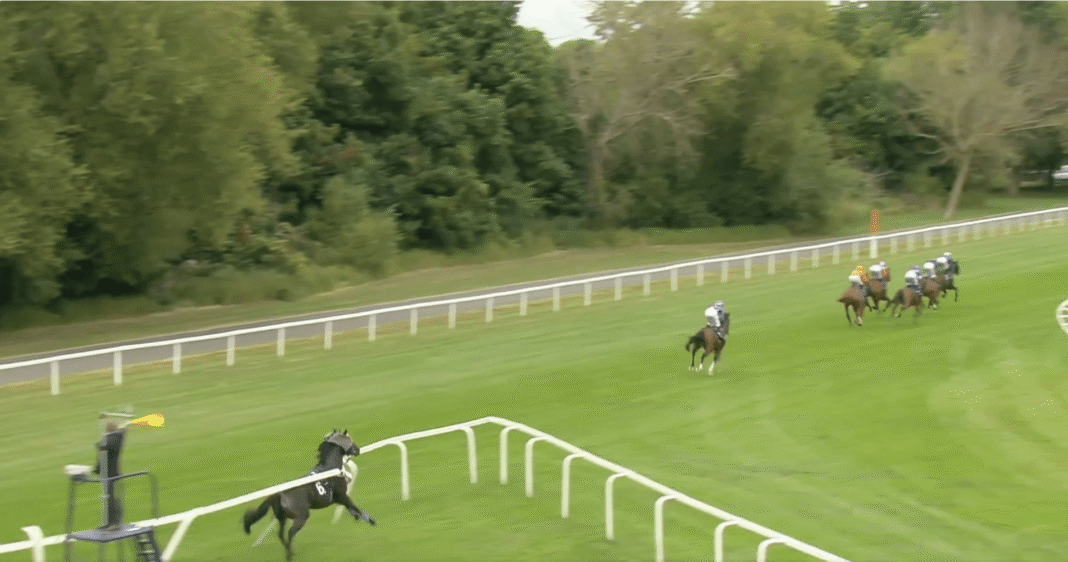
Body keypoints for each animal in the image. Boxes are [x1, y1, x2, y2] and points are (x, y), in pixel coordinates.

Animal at [243, 430, 375, 561]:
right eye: (351, 440)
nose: (358, 449)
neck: (331, 469)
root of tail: (279, 493)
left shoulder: (336, 499)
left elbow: (351, 507)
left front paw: (357, 517)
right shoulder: (342, 496)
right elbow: (354, 506)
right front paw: (370, 520)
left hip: (282, 517)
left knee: (280, 534)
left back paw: (289, 552)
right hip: (302, 516)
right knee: (290, 532)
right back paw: (289, 555)